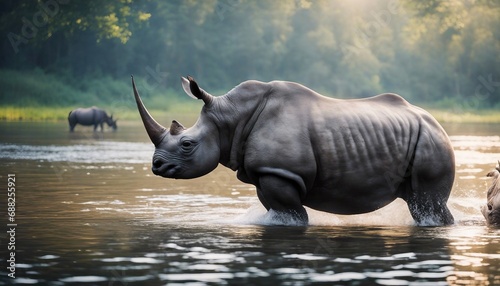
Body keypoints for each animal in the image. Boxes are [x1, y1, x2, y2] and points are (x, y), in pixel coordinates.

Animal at [131, 75, 456, 226]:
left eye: (187, 144)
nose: (157, 166)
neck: (230, 118)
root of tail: (435, 122)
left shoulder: (282, 171)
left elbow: (294, 215)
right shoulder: (265, 173)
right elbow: (277, 210)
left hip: (431, 141)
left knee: (427, 203)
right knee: (418, 201)